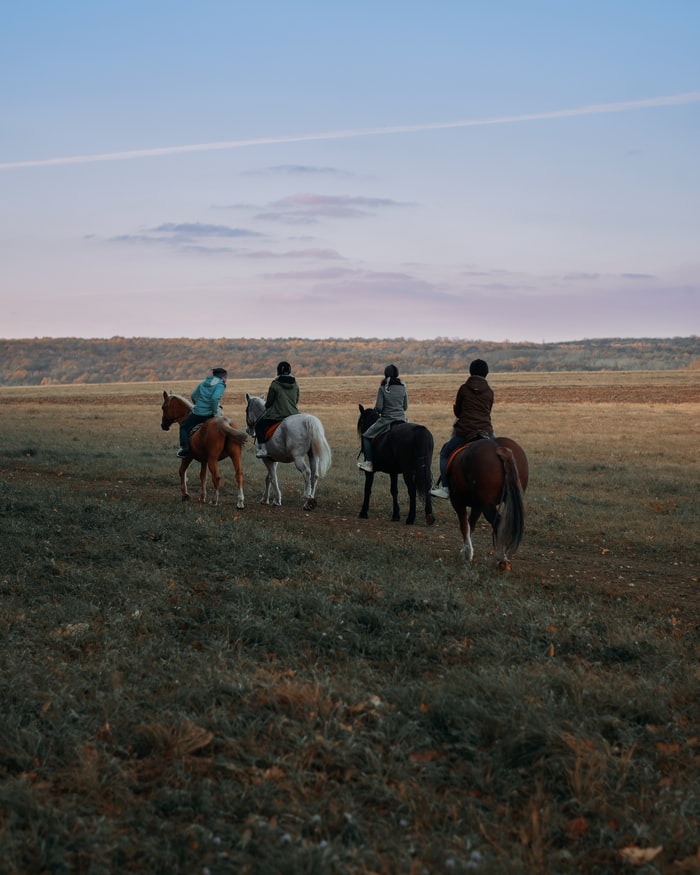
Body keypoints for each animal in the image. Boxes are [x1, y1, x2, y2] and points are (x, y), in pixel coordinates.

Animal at [444, 437, 528, 571]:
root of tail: (501, 449)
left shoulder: (458, 502)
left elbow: (464, 526)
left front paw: (467, 553)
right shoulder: (477, 506)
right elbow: (471, 525)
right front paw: (466, 551)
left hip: (487, 505)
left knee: (498, 524)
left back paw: (502, 559)